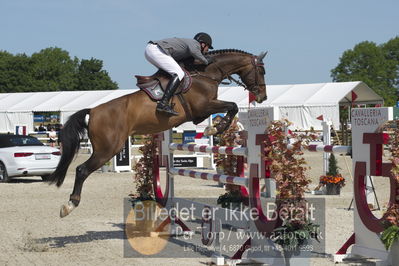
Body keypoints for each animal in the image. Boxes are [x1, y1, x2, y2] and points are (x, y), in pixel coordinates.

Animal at [49, 48, 268, 217]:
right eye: (262, 70)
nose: (263, 97)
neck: (206, 74)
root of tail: (93, 111)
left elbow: (232, 107)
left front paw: (215, 127)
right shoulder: (203, 107)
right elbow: (232, 106)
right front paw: (215, 127)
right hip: (108, 149)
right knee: (81, 170)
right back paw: (69, 205)